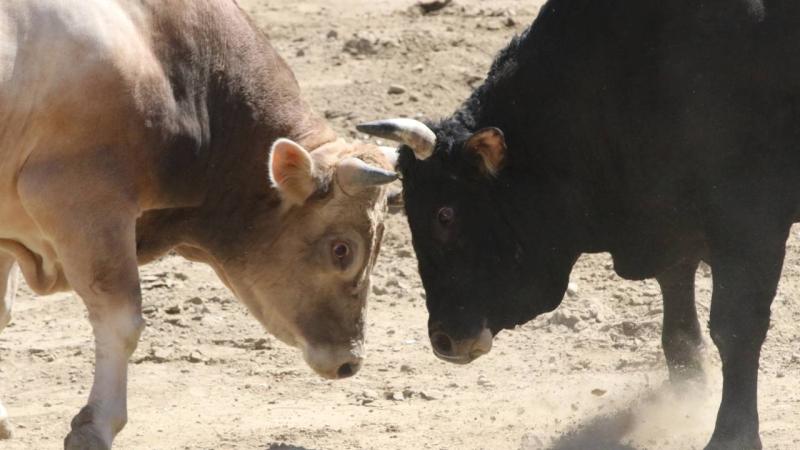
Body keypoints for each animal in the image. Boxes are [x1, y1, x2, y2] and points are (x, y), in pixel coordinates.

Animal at [360, 0, 800, 450]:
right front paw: (687, 396)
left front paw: (732, 433)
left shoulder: (748, 223)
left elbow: (735, 327)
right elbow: (677, 321)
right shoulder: (666, 215)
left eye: (445, 215)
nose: (444, 340)